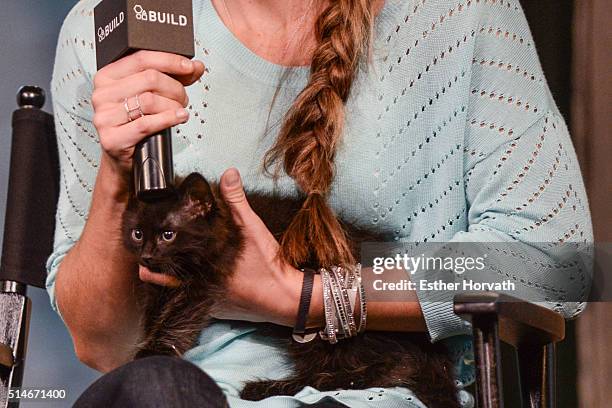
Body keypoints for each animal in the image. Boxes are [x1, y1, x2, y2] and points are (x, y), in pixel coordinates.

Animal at [123, 173, 460, 408]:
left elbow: (178, 319)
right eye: (137, 233)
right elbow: (155, 314)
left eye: (168, 234)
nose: (147, 256)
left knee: (374, 369)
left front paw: (149, 355)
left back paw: (264, 388)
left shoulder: (209, 278)